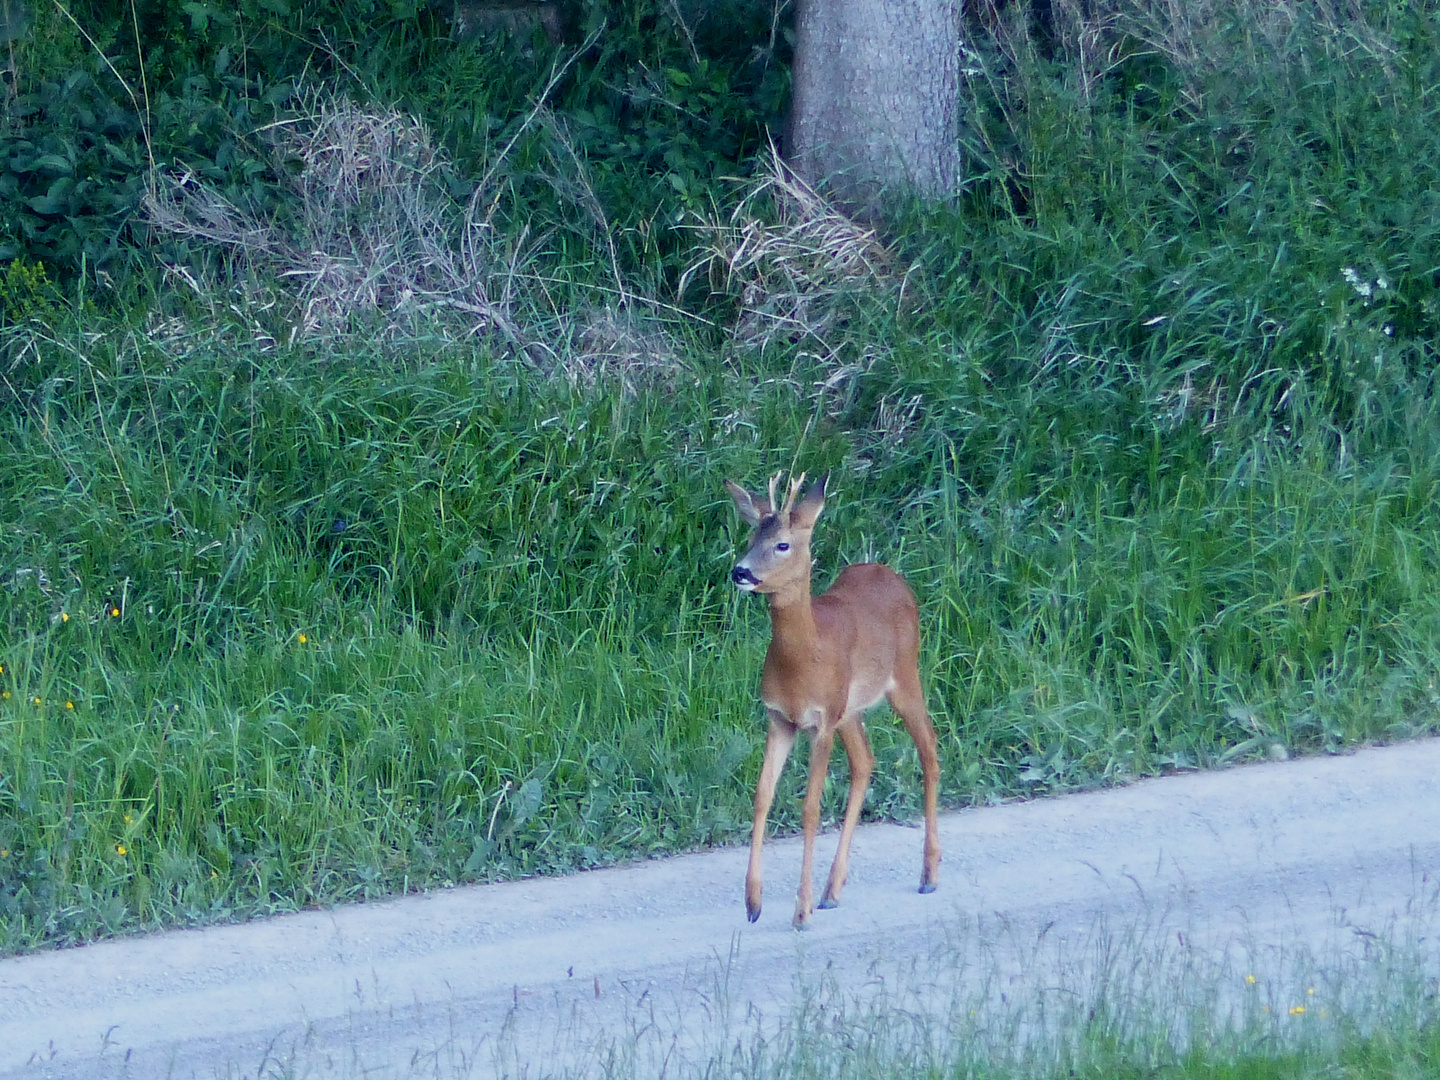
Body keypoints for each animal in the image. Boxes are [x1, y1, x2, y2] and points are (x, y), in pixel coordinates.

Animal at [725, 472, 938, 933]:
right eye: (752, 535)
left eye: (782, 544)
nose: (740, 571)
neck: (804, 657)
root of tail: (886, 571)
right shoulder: (779, 718)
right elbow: (762, 796)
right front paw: (753, 902)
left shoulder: (820, 721)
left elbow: (810, 807)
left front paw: (799, 910)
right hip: (850, 708)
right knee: (865, 761)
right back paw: (832, 889)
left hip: (903, 675)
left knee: (929, 748)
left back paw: (929, 874)